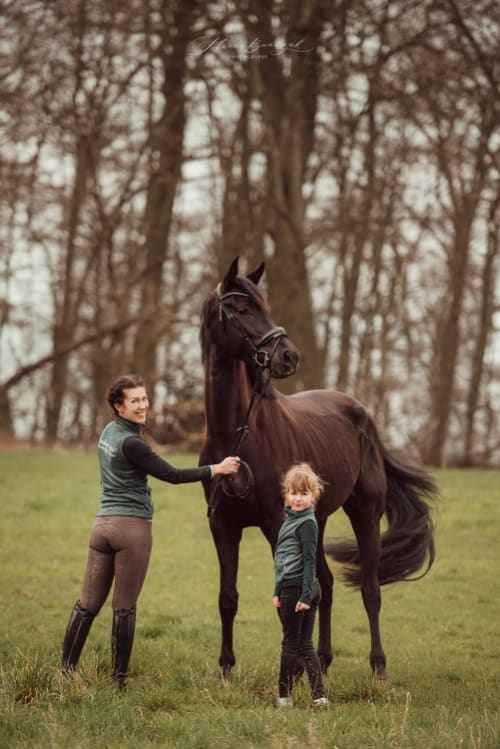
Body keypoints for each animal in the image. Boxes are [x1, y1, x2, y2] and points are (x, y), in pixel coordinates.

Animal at [199, 256, 438, 681]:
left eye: (266, 305)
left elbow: (292, 594)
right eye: (241, 308)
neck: (237, 434)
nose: (288, 356)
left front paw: (292, 670)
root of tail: (362, 414)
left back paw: (377, 667)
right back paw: (322, 661)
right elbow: (229, 597)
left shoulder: (276, 524)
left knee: (369, 589)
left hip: (365, 512)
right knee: (323, 584)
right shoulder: (223, 525)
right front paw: (227, 668)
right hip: (318, 518)